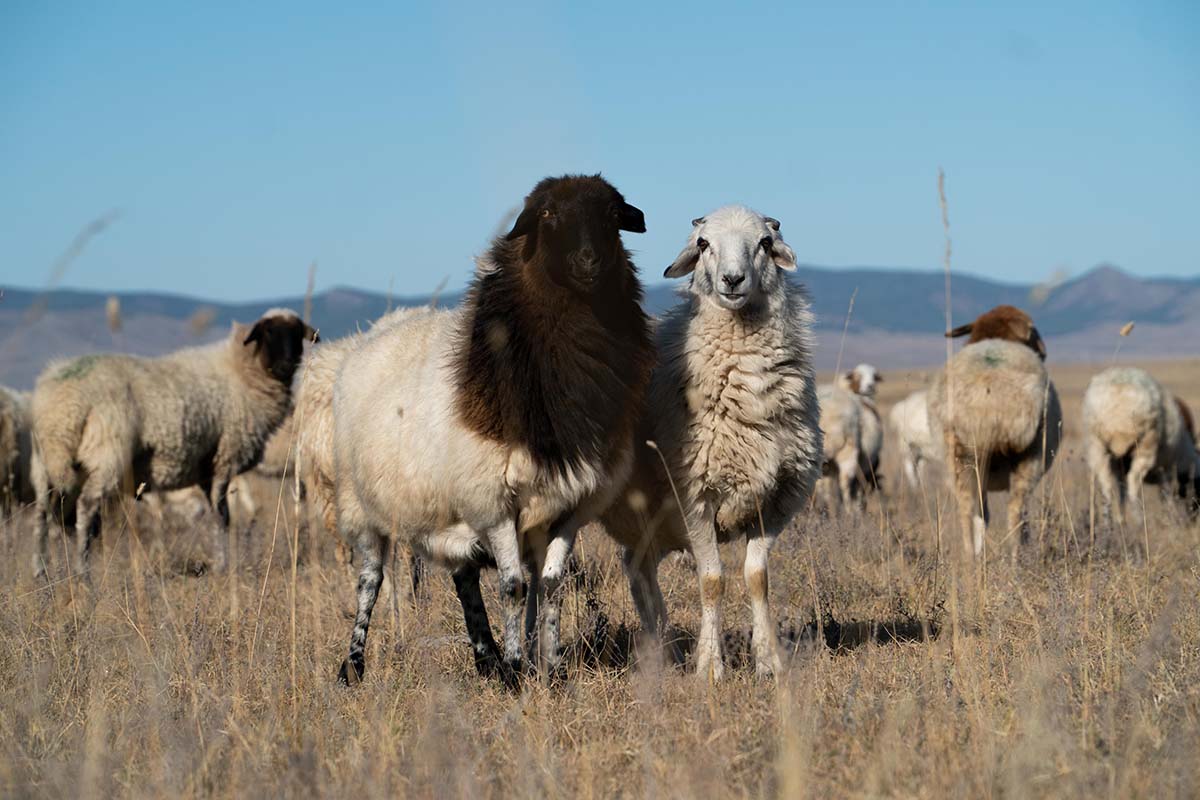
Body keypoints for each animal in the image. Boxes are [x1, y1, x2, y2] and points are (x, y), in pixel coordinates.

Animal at [29, 308, 316, 579]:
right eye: (268, 332)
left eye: (296, 333)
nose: (287, 364)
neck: (240, 371)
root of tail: (61, 402)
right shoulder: (225, 457)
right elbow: (222, 516)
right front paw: (223, 565)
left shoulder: (207, 468)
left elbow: (216, 513)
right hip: (106, 454)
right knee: (87, 506)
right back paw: (82, 571)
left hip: (45, 462)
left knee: (42, 511)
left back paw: (41, 570)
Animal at [331, 175, 653, 685]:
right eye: (547, 214)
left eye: (611, 214)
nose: (589, 261)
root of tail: (379, 328)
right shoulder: (493, 499)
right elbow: (513, 587)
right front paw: (519, 670)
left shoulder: (570, 504)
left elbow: (551, 585)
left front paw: (552, 669)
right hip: (361, 506)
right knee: (371, 579)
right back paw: (354, 666)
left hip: (448, 506)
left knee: (463, 576)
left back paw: (486, 657)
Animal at [599, 205, 822, 681]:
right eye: (703, 244)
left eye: (763, 243)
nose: (732, 280)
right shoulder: (694, 496)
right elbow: (712, 580)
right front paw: (711, 668)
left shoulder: (775, 500)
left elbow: (758, 578)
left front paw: (768, 661)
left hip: (649, 516)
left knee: (638, 567)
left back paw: (664, 649)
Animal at [926, 305, 1062, 557]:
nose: (1044, 351)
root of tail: (990, 389)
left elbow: (983, 515)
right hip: (1029, 454)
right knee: (1015, 512)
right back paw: (1016, 558)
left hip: (962, 455)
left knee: (971, 510)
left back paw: (974, 559)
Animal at [1081, 367, 1200, 526]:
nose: (1193, 519)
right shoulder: (1167, 467)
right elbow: (1166, 494)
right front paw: (1170, 518)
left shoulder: (1120, 467)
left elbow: (1121, 490)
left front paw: (1121, 519)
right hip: (1145, 445)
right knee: (1133, 483)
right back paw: (1139, 520)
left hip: (1096, 445)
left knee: (1106, 488)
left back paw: (1108, 524)